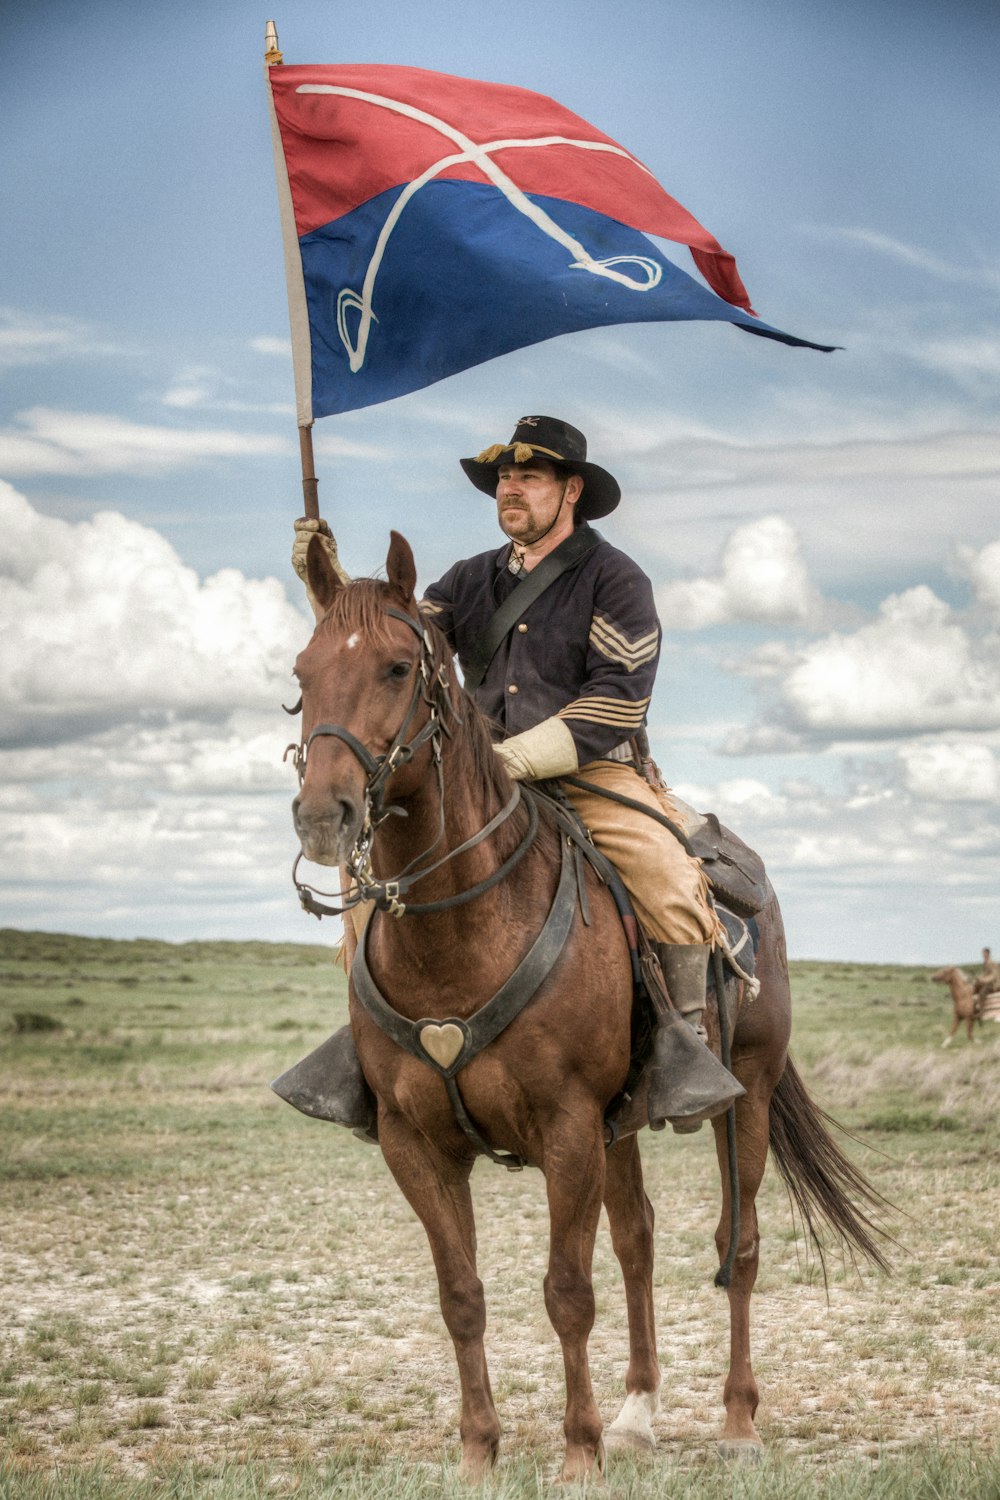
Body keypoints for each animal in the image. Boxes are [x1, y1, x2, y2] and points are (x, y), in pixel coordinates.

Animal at [289, 531, 893, 1476]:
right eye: (302, 671)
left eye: (396, 666)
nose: (324, 815)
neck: (461, 931)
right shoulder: (415, 1144)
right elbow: (462, 1294)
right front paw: (480, 1453)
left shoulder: (567, 1129)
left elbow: (568, 1291)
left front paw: (578, 1452)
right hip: (623, 1124)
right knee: (637, 1239)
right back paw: (639, 1411)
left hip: (746, 1097)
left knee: (740, 1245)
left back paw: (738, 1420)